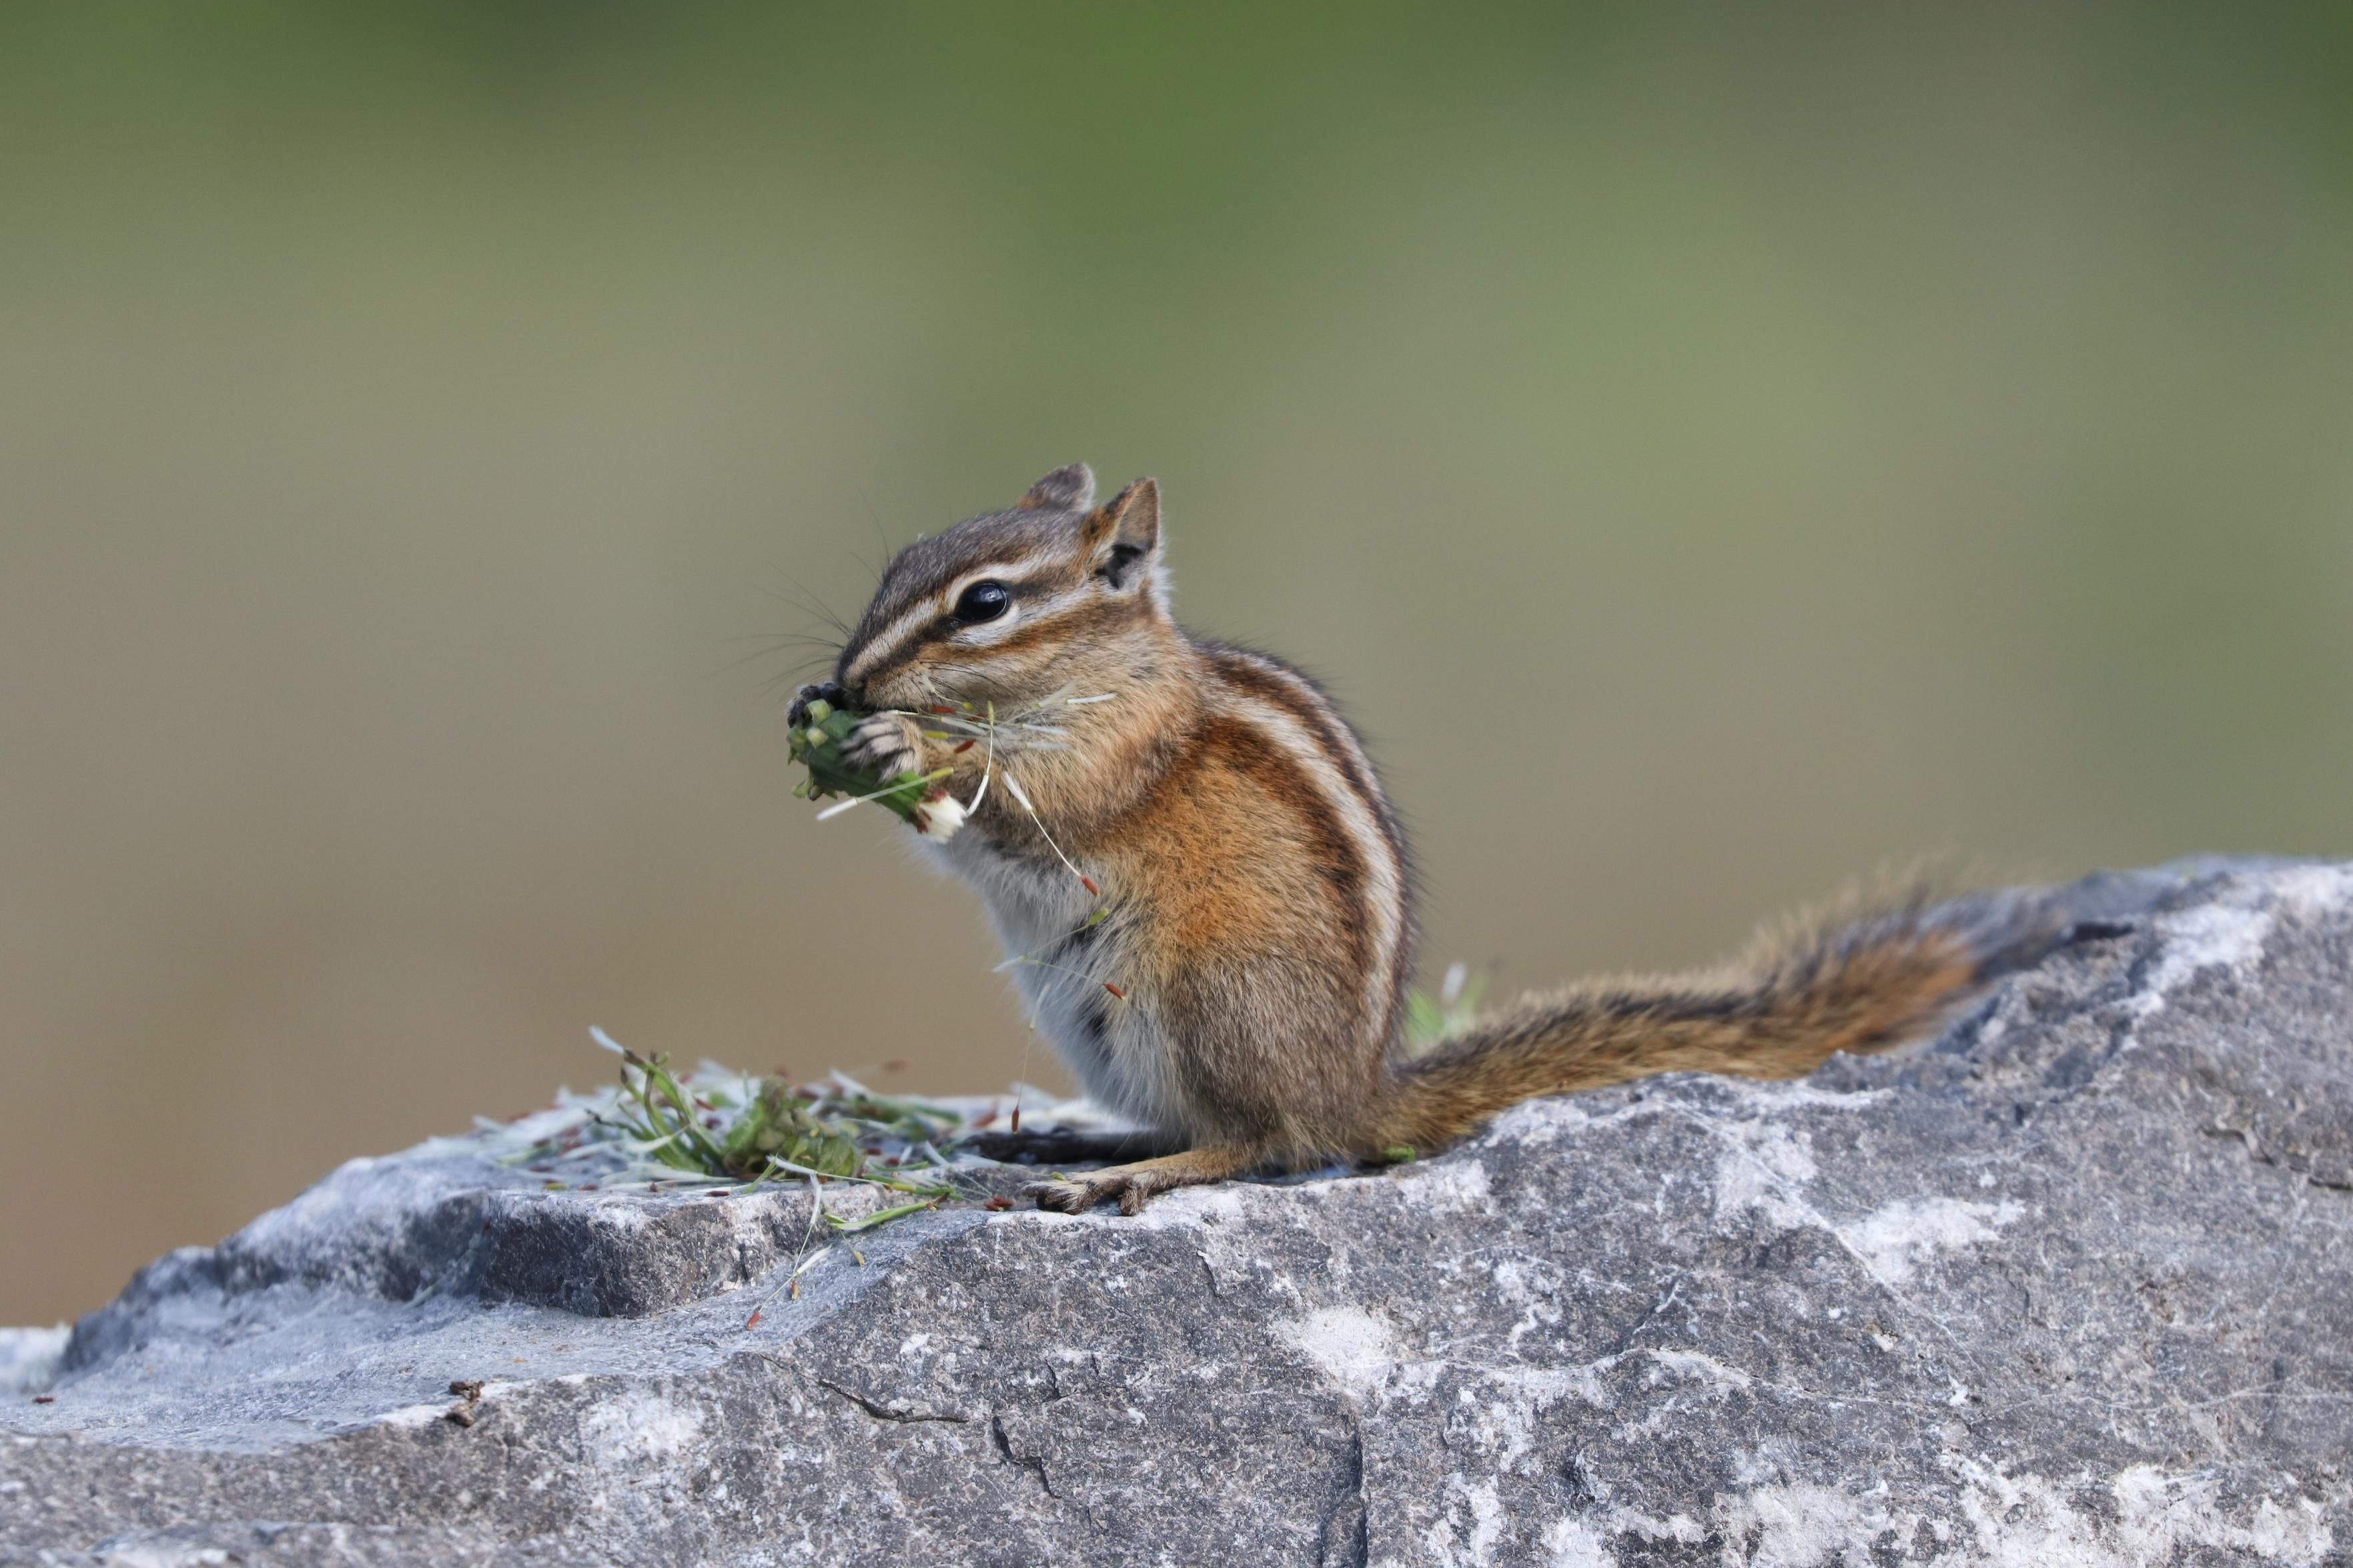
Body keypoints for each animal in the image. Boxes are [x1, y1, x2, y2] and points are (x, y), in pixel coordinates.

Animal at [789, 463, 2055, 1215]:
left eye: (984, 605)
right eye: (898, 564)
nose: (847, 683)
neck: (1112, 672)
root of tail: (1358, 1092)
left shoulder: (1115, 756)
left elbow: (1037, 803)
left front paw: (901, 746)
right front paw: (835, 724)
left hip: (1200, 994)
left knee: (1264, 1142)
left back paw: (1134, 1172)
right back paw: (1069, 1145)